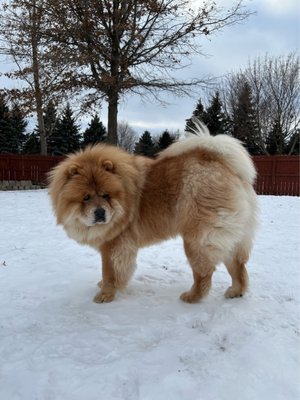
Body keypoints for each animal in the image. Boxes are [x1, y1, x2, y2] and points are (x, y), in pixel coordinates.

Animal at [48, 121, 256, 304]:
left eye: (106, 195)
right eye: (86, 197)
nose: (100, 212)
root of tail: (221, 164)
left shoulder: (113, 245)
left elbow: (109, 272)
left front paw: (105, 294)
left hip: (197, 239)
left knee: (204, 272)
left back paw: (192, 297)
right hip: (232, 237)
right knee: (238, 266)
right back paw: (236, 292)